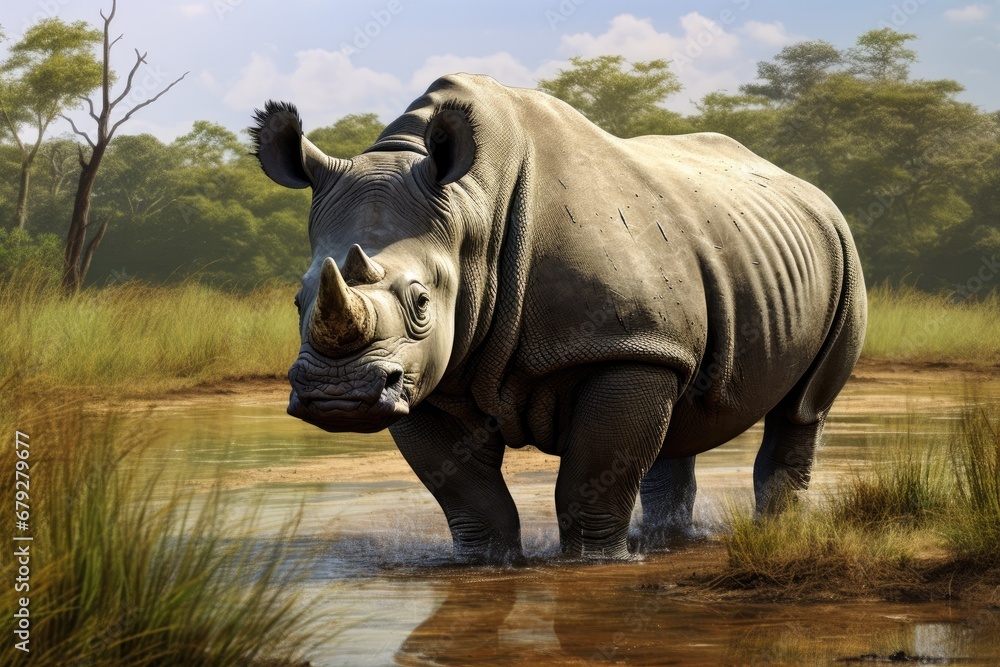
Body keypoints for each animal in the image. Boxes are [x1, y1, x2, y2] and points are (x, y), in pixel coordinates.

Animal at [251, 73, 866, 563]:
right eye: (298, 301)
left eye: (421, 303)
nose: (337, 396)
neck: (475, 210)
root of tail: (806, 187)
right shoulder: (424, 376)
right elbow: (468, 495)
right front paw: (486, 565)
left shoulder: (622, 344)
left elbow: (591, 480)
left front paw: (594, 565)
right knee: (680, 411)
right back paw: (666, 542)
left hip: (843, 252)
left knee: (803, 407)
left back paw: (775, 533)